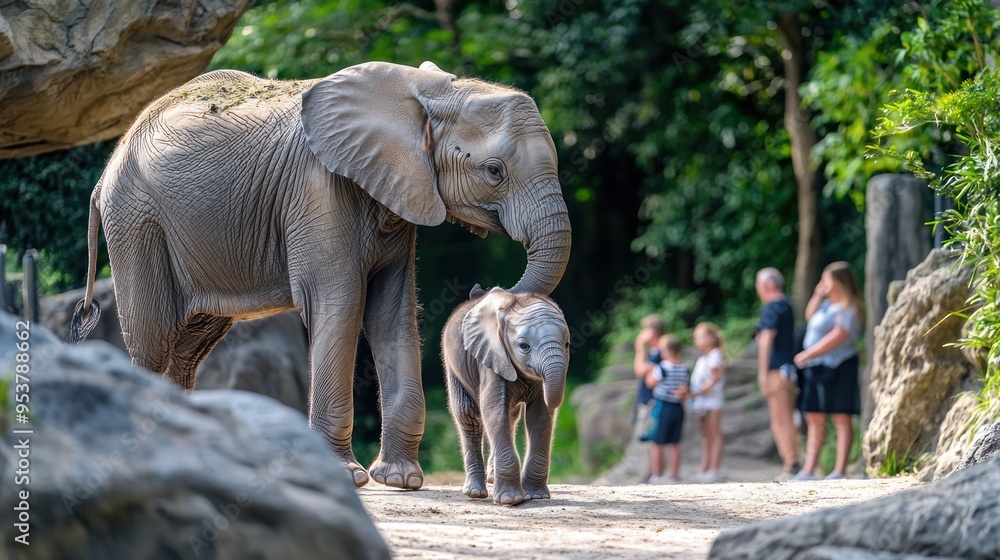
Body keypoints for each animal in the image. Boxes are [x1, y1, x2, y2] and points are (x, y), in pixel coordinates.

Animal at [441, 285, 569, 505]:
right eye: (523, 346)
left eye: (567, 345)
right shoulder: (491, 358)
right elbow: (493, 411)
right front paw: (511, 500)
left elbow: (539, 417)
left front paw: (536, 496)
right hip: (453, 364)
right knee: (468, 415)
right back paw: (475, 493)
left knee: (511, 416)